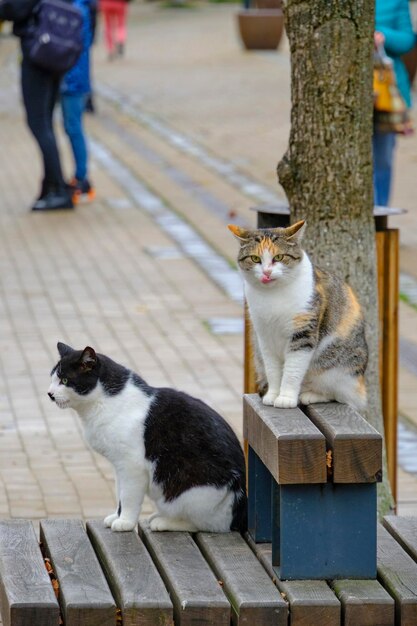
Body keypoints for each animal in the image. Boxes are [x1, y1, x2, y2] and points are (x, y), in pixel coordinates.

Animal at [48, 342, 247, 532]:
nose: (49, 394)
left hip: (191, 492)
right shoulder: (118, 465)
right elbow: (119, 493)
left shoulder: (132, 465)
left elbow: (128, 496)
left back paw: (164, 522)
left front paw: (125, 522)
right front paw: (117, 516)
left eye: (65, 380)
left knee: (207, 525)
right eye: (52, 379)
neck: (103, 402)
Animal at [228, 219, 368, 410]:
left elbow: (292, 370)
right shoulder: (264, 336)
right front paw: (273, 394)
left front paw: (286, 397)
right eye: (255, 259)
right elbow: (273, 370)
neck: (273, 295)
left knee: (341, 396)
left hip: (337, 370)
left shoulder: (303, 333)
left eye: (279, 257)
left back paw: (310, 395)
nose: (266, 272)